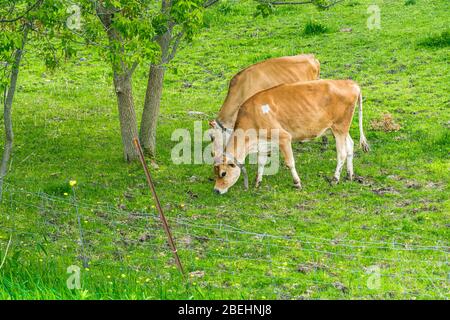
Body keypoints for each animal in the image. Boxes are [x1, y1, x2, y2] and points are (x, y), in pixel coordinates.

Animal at [214, 80, 370, 195]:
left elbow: (290, 162)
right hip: (338, 129)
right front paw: (258, 182)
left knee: (342, 153)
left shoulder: (284, 137)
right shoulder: (263, 142)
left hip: (340, 127)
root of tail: (350, 83)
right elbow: (261, 162)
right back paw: (349, 175)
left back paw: (335, 179)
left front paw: (297, 182)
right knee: (350, 146)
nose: (216, 190)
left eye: (223, 173)